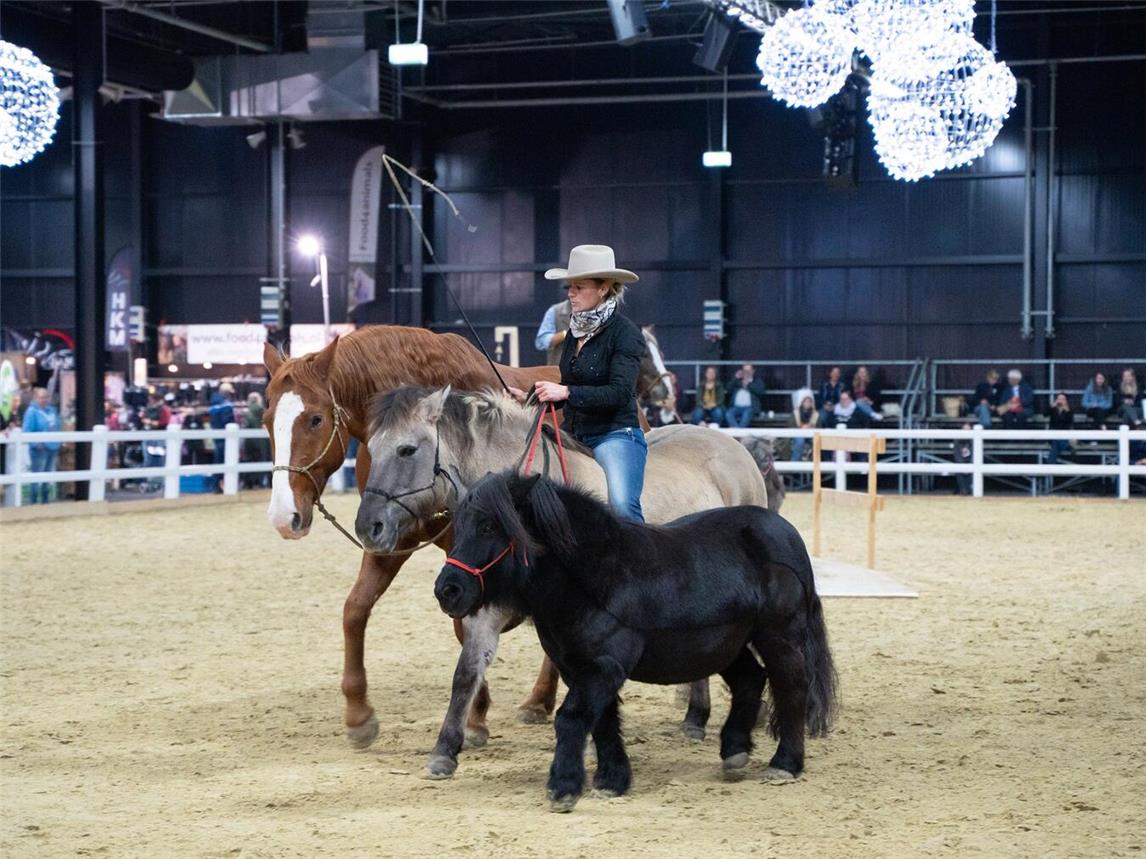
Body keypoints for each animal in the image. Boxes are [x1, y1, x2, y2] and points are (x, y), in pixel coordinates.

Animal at [354, 385, 771, 777]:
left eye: (407, 450)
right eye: (370, 448)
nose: (368, 527)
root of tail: (733, 447)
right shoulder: (486, 606)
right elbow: (467, 671)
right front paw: (445, 750)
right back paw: (695, 718)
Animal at [435, 471, 838, 812]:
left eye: (489, 526)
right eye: (459, 526)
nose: (448, 590)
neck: (598, 578)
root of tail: (784, 532)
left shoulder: (604, 665)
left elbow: (572, 718)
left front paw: (563, 787)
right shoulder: (577, 668)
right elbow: (603, 720)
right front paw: (612, 781)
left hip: (779, 636)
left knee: (791, 687)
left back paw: (785, 764)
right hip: (728, 646)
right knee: (751, 680)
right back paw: (735, 752)